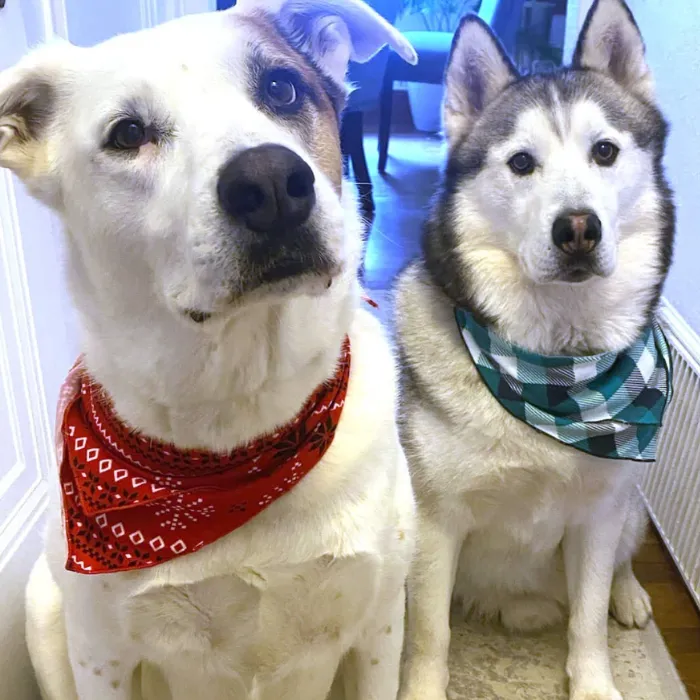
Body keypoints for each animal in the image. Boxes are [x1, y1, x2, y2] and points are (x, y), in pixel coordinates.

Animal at [0, 2, 418, 696]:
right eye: (127, 133)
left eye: (282, 87)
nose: (271, 182)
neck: (237, 428)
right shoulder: (103, 656)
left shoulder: (380, 626)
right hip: (44, 610)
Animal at [394, 1, 672, 700]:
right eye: (521, 163)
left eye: (605, 151)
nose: (577, 228)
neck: (559, 369)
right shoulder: (435, 523)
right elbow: (429, 633)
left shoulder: (598, 516)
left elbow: (587, 620)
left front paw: (595, 683)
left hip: (630, 502)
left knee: (624, 557)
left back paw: (629, 596)